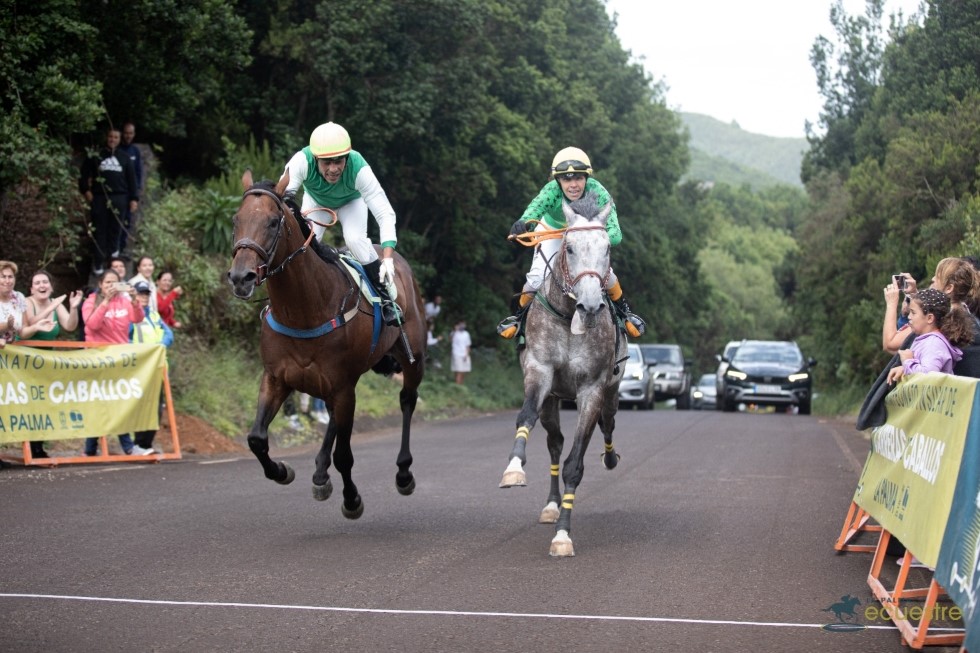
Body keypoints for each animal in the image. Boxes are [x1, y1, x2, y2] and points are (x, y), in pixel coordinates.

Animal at [230, 171, 428, 516]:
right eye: (235, 219)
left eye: (272, 222)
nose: (241, 277)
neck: (304, 311)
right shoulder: (277, 378)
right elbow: (256, 438)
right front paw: (281, 470)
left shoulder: (341, 385)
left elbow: (344, 456)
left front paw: (352, 499)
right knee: (335, 418)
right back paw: (320, 472)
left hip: (411, 358)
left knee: (407, 400)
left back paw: (403, 472)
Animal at [498, 194, 628, 556]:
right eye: (569, 247)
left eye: (607, 249)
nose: (590, 306)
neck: (570, 315)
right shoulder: (539, 371)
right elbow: (526, 417)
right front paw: (513, 470)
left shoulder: (593, 389)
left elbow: (575, 463)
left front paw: (562, 535)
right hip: (553, 399)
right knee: (554, 442)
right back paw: (551, 505)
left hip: (612, 391)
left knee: (608, 425)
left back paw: (609, 458)